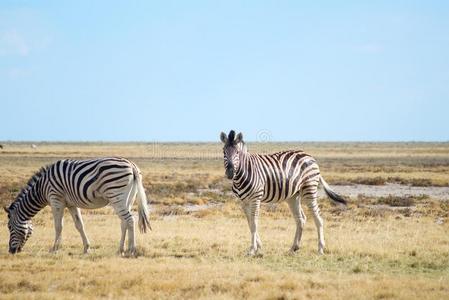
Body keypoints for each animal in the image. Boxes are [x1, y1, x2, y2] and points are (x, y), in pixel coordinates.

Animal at [3, 157, 151, 255]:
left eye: (9, 227)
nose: (11, 251)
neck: (41, 189)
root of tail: (132, 165)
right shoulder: (72, 204)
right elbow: (79, 225)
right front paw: (86, 248)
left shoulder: (56, 200)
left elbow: (58, 226)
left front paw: (54, 249)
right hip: (127, 198)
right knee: (124, 222)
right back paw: (120, 249)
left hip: (116, 195)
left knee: (130, 220)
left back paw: (131, 249)